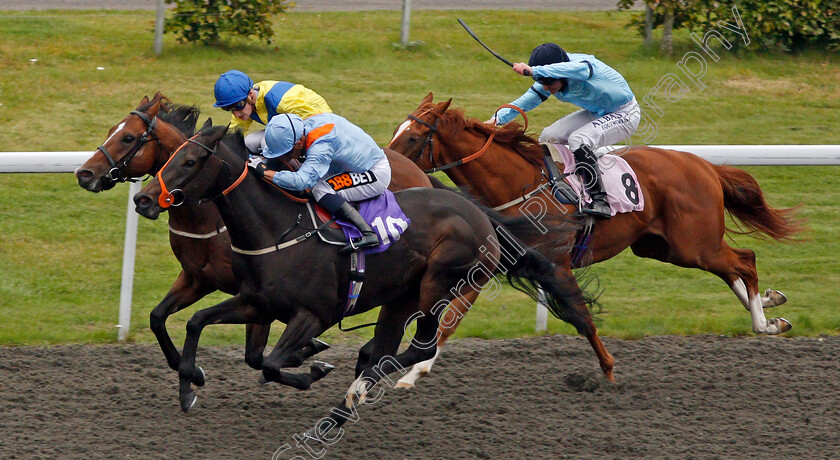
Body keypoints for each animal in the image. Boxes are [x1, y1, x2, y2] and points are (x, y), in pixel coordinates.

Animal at [133, 124, 592, 434]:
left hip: (439, 283)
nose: (142, 199)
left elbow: (272, 363)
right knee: (388, 345)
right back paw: (345, 403)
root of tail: (480, 216)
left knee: (419, 346)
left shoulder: (312, 314)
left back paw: (358, 388)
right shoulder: (256, 302)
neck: (277, 229)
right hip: (401, 296)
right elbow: (199, 323)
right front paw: (188, 386)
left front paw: (314, 370)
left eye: (190, 162)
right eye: (170, 158)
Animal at [390, 92, 804, 380]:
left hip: (693, 243)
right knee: (730, 267)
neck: (518, 186)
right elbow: (451, 318)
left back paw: (764, 322)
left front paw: (608, 370)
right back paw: (773, 309)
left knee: (744, 260)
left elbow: (584, 319)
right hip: (665, 247)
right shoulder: (490, 265)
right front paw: (414, 374)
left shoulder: (556, 265)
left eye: (412, 138)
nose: (389, 167)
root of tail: (704, 165)